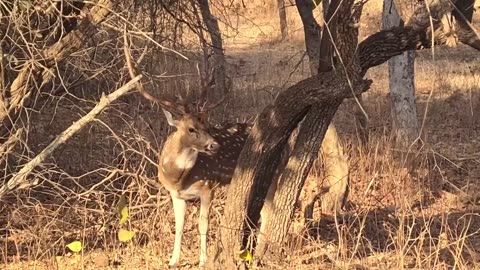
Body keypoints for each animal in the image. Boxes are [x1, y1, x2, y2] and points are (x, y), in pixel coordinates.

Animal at [139, 89, 251, 266]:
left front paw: (203, 260)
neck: (178, 180)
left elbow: (203, 224)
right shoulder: (176, 195)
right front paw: (173, 260)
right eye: (191, 129)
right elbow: (179, 225)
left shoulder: (208, 185)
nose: (214, 145)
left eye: (208, 127)